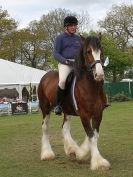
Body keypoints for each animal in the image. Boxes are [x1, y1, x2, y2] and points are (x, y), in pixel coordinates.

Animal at [37, 35, 110, 170]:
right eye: (88, 52)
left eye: (101, 51)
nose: (99, 75)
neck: (90, 87)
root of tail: (45, 76)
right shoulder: (84, 115)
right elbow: (91, 136)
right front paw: (98, 162)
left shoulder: (98, 113)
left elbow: (94, 134)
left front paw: (81, 153)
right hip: (45, 109)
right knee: (45, 127)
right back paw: (47, 154)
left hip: (67, 111)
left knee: (65, 127)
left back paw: (72, 150)